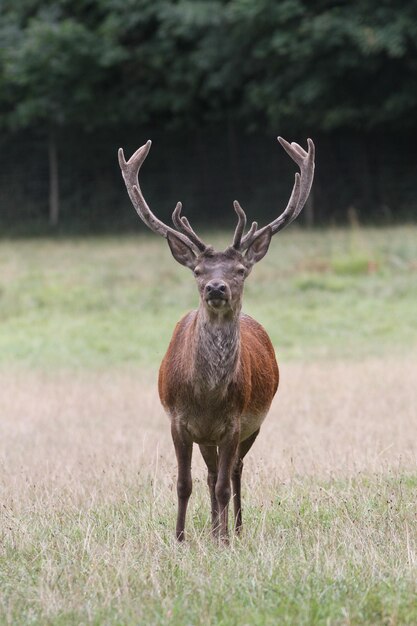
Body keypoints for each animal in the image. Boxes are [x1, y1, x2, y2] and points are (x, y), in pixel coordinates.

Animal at [116, 136, 312, 540]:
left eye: (240, 270)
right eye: (197, 270)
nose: (216, 287)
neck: (206, 395)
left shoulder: (234, 423)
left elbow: (224, 483)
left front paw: (223, 540)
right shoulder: (178, 421)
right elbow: (184, 483)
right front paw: (179, 538)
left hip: (254, 423)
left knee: (233, 472)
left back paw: (232, 528)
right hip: (206, 437)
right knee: (208, 474)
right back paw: (212, 528)